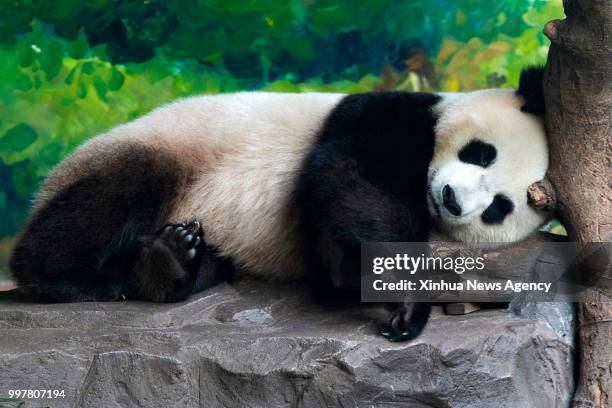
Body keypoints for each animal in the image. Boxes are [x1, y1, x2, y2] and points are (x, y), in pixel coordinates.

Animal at [9, 67, 548, 340]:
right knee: (112, 194)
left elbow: (336, 270)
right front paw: (407, 300)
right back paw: (69, 277)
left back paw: (168, 264)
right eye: (480, 152)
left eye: (498, 208)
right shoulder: (387, 115)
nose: (452, 200)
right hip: (160, 151)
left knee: (206, 261)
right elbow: (349, 176)